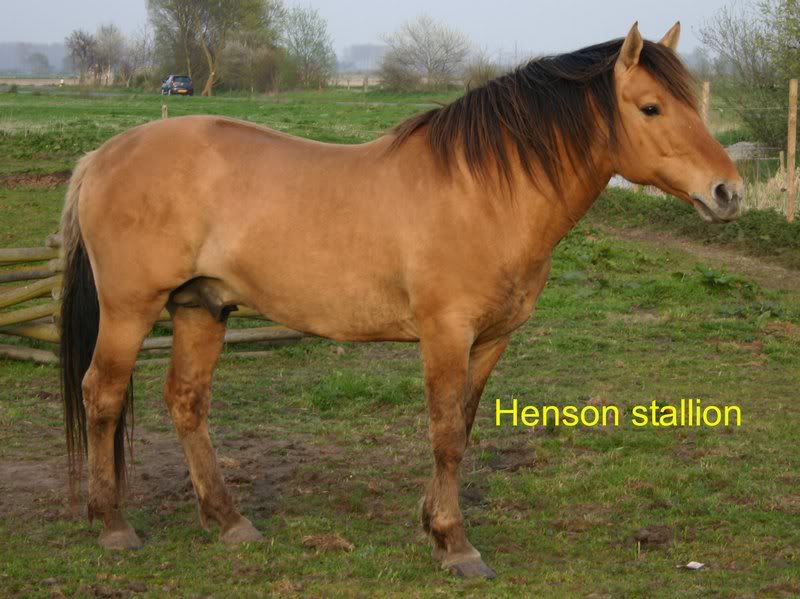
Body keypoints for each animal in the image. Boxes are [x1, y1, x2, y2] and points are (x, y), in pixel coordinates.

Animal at [59, 22, 741, 579]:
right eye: (651, 107)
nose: (728, 192)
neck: (485, 191)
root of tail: (102, 156)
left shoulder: (490, 340)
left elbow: (463, 424)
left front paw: (432, 525)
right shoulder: (445, 334)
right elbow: (445, 434)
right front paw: (456, 545)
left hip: (201, 308)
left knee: (186, 402)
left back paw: (229, 521)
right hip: (130, 310)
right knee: (102, 395)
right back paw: (113, 525)